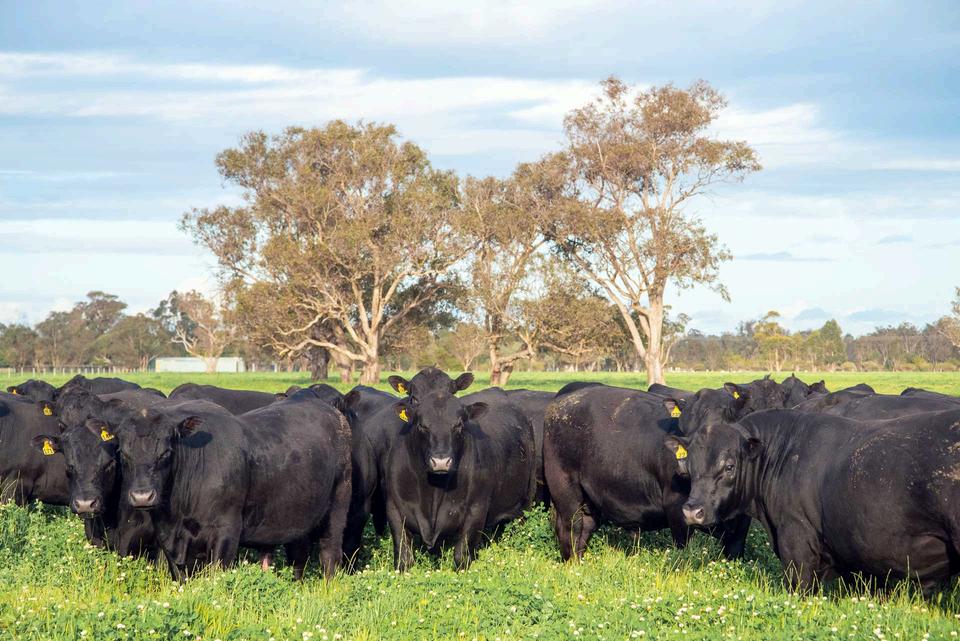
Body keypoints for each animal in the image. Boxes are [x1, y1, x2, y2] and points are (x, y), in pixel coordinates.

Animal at [117, 394, 352, 580]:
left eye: (166, 452)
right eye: (124, 454)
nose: (142, 496)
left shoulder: (227, 530)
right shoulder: (168, 539)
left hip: (337, 507)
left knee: (329, 554)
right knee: (298, 556)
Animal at [383, 371, 536, 570]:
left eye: (458, 425)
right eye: (422, 425)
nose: (441, 461)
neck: (433, 489)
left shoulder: (476, 509)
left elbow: (461, 556)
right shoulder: (394, 508)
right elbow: (403, 558)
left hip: (527, 498)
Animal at [543, 384, 749, 562]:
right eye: (685, 429)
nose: (685, 466)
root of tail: (559, 404)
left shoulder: (741, 523)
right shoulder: (677, 510)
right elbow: (683, 551)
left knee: (585, 526)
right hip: (566, 491)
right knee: (572, 528)